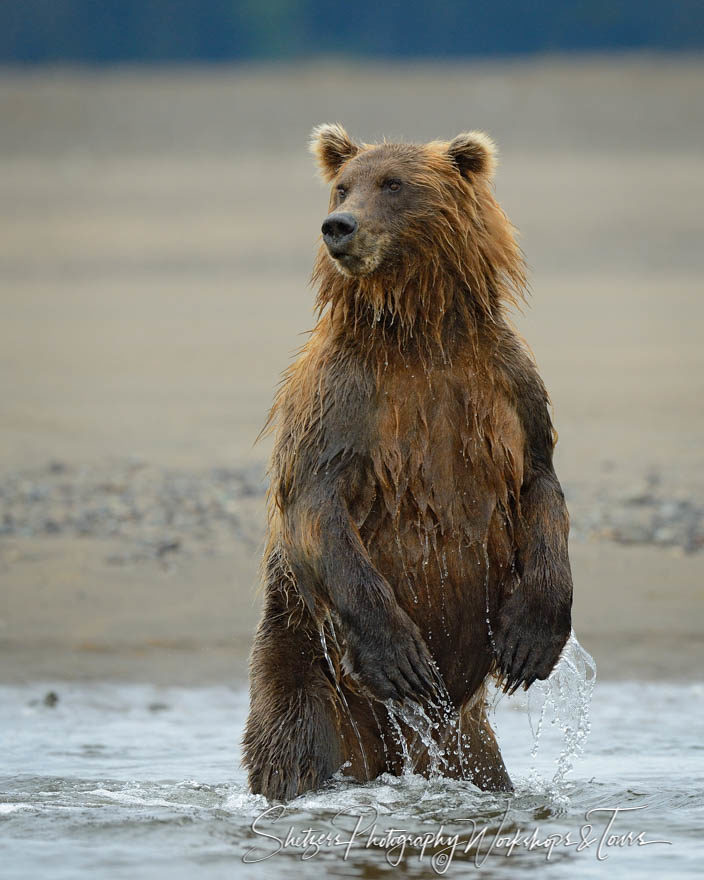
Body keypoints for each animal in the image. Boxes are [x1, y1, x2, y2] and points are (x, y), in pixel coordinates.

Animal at [242, 120, 572, 800]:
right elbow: (316, 502)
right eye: (343, 185)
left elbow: (539, 484)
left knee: (481, 767)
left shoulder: (509, 386)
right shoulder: (341, 398)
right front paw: (400, 656)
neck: (419, 331)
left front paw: (531, 639)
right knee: (296, 741)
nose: (338, 226)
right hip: (309, 666)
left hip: (464, 735)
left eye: (393, 184)